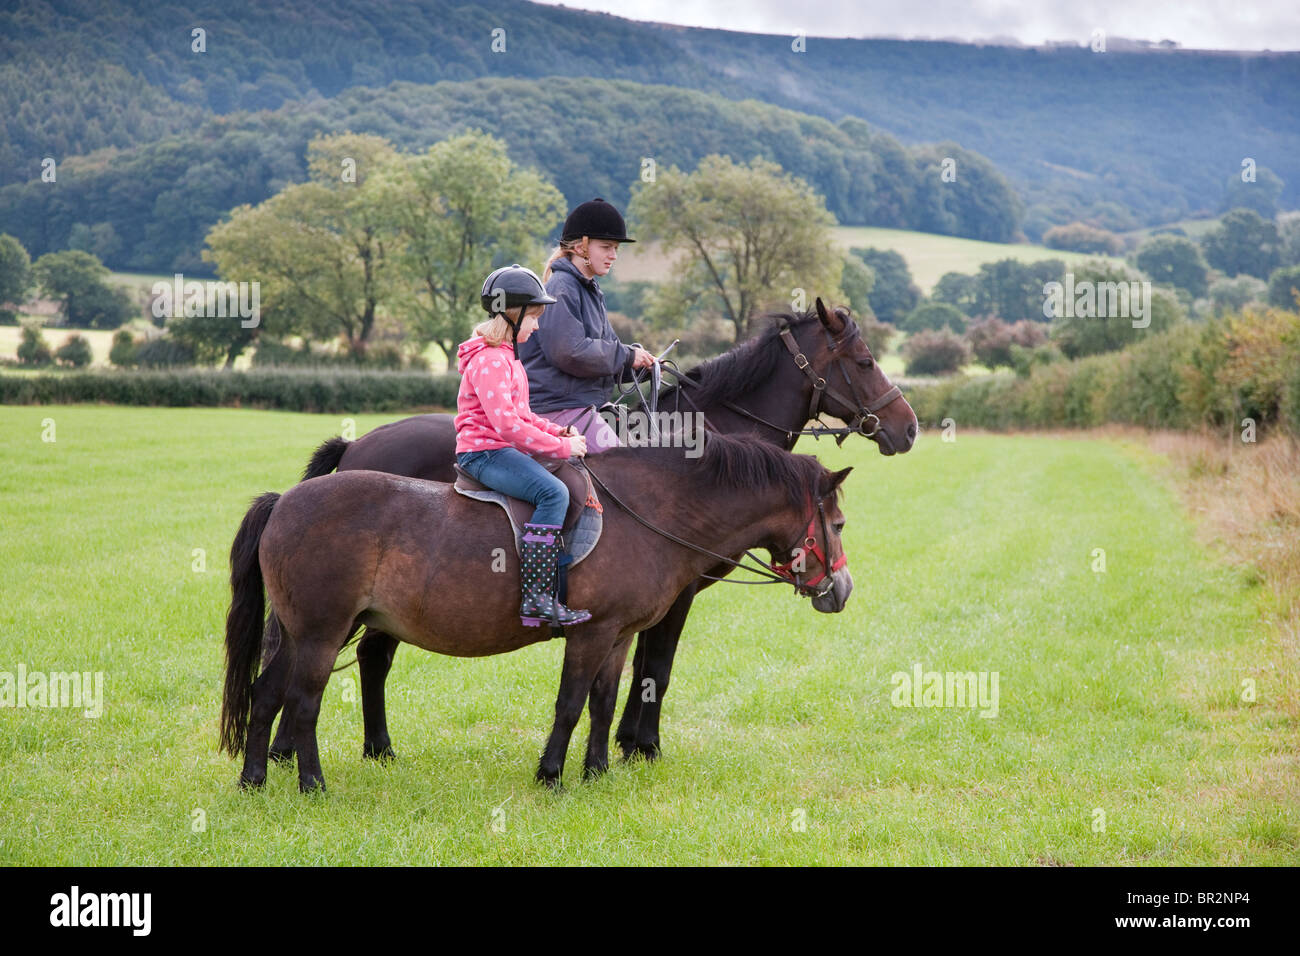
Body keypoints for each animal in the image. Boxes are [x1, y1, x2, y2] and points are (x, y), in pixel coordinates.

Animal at [223, 434, 852, 790]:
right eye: (840, 523)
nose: (841, 589)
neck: (649, 510)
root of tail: (285, 502)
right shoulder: (591, 634)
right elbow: (570, 703)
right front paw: (551, 775)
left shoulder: (618, 636)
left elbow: (602, 703)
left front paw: (596, 773)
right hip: (322, 633)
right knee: (303, 702)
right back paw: (311, 783)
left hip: (308, 634)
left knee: (266, 693)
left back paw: (254, 779)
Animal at [261, 300, 915, 770]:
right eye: (863, 362)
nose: (907, 428)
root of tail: (356, 446)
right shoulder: (675, 595)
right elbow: (655, 669)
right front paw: (641, 746)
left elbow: (632, 670)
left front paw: (622, 747)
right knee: (347, 663)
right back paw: (297, 752)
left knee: (359, 660)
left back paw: (348, 750)